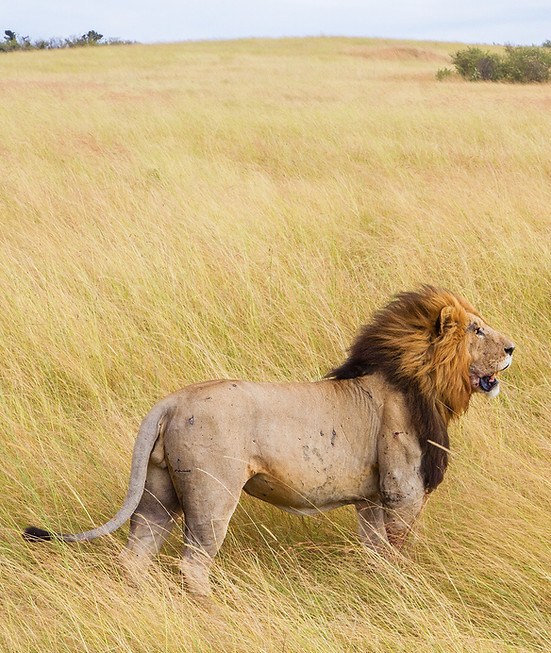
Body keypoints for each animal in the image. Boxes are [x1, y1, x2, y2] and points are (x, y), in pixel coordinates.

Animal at [23, 286, 514, 596]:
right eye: (477, 330)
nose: (512, 348)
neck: (422, 380)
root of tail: (171, 401)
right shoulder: (401, 490)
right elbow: (399, 551)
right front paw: (404, 590)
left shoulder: (372, 499)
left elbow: (376, 553)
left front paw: (379, 587)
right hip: (212, 494)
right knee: (193, 563)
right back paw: (211, 611)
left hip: (159, 492)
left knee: (135, 556)